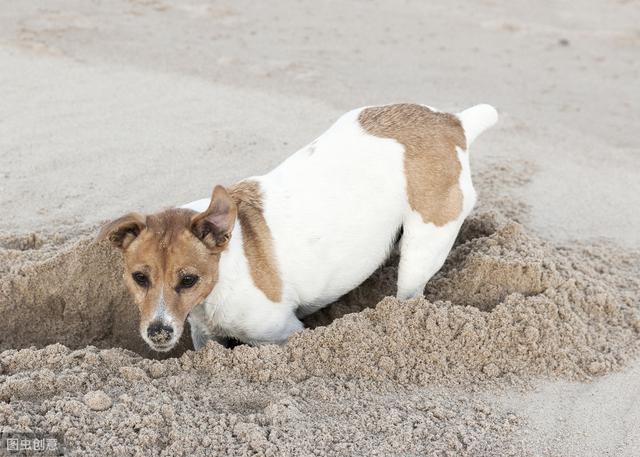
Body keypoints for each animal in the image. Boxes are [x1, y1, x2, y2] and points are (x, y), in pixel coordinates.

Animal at [99, 104, 500, 352]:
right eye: (139, 278)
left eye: (188, 280)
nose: (159, 332)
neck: (223, 272)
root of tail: (453, 122)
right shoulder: (204, 335)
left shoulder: (283, 333)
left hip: (422, 251)